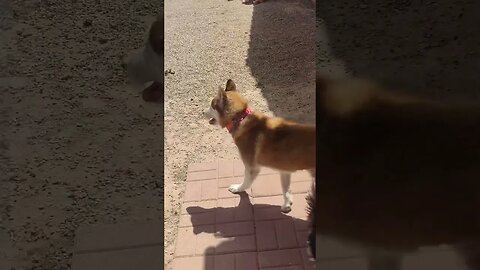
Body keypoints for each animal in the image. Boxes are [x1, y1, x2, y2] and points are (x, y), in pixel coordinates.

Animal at [204, 79, 316, 212]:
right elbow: (286, 190)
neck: (240, 118)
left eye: (212, 105)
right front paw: (287, 205)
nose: (202, 112)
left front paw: (238, 188)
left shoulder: (252, 167)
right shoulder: (285, 169)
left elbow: (246, 182)